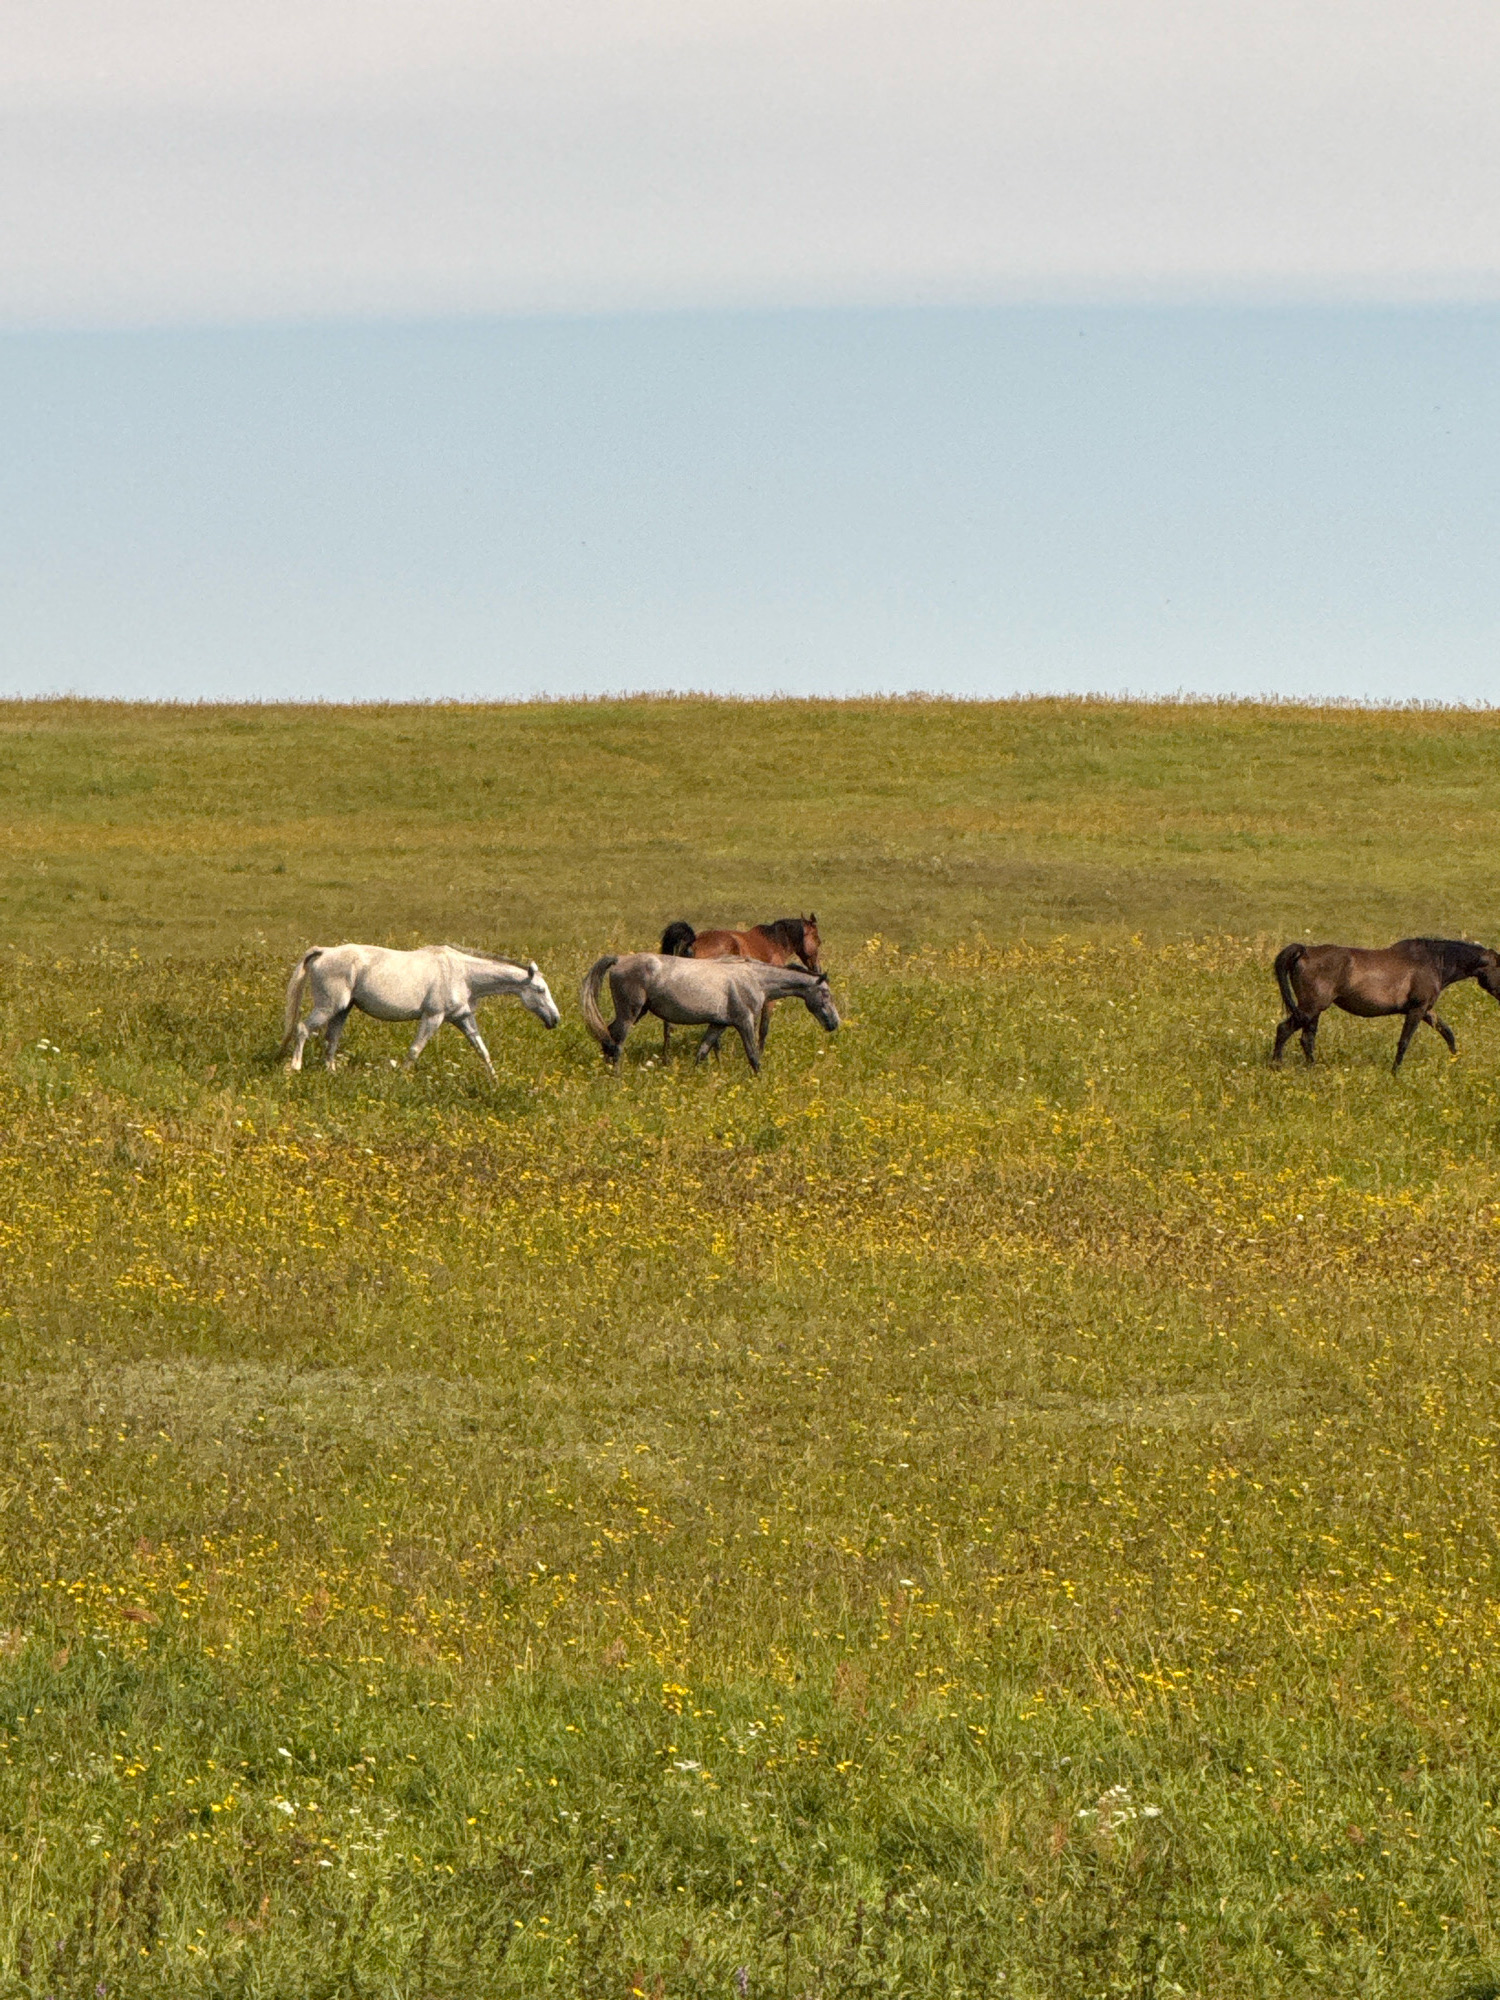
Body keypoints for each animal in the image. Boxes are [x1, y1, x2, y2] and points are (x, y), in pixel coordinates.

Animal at [279, 943, 560, 1077]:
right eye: (540, 990)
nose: (555, 1019)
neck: (462, 973)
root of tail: (323, 951)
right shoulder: (433, 1017)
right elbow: (415, 1050)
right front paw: (401, 1078)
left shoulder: (463, 1019)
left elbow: (483, 1051)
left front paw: (496, 1081)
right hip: (328, 1007)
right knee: (303, 1029)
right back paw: (295, 1067)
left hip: (342, 1010)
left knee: (332, 1039)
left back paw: (331, 1071)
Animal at [580, 953, 838, 1074]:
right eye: (826, 993)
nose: (834, 1023)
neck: (754, 978)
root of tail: (620, 960)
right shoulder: (744, 1021)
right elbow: (753, 1056)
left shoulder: (718, 1024)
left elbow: (702, 1052)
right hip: (630, 1013)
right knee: (617, 1042)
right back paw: (616, 1076)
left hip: (637, 1012)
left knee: (608, 1035)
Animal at [657, 914, 821, 1056]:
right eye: (818, 940)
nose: (817, 969)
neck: (774, 943)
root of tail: (693, 943)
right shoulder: (769, 999)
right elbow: (763, 1028)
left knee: (668, 1025)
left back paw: (667, 1057)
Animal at [1272, 937, 1500, 1070]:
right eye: (1499, 966)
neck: (1434, 962)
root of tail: (1305, 951)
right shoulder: (1417, 1010)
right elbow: (1404, 1042)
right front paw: (1395, 1073)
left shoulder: (1426, 1010)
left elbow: (1448, 1034)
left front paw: (1456, 1062)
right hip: (1310, 1008)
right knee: (1284, 1030)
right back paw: (1277, 1065)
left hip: (1314, 1010)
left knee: (1306, 1038)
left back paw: (1312, 1067)